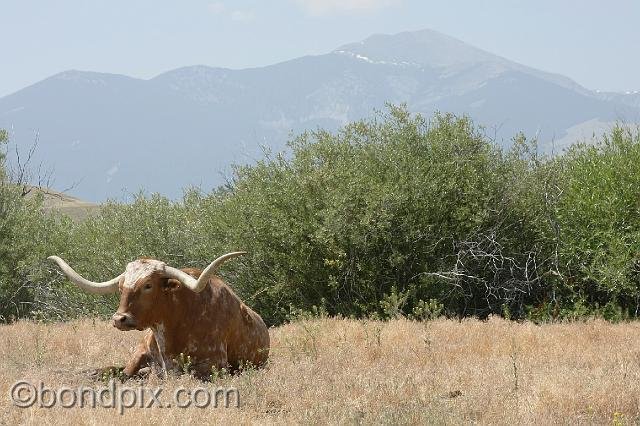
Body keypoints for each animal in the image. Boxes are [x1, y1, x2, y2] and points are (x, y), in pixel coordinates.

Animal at [47, 252, 269, 380]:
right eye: (121, 286)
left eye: (148, 285)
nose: (119, 319)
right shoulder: (142, 355)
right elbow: (125, 373)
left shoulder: (215, 364)